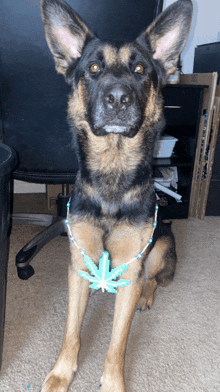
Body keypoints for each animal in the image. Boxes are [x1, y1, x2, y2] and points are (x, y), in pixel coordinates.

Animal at [40, 1, 192, 390]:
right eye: (93, 68)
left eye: (140, 70)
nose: (118, 99)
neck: (112, 174)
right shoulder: (77, 265)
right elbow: (71, 331)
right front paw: (62, 372)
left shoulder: (133, 264)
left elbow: (118, 341)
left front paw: (111, 381)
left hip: (161, 246)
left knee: (154, 279)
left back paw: (147, 296)